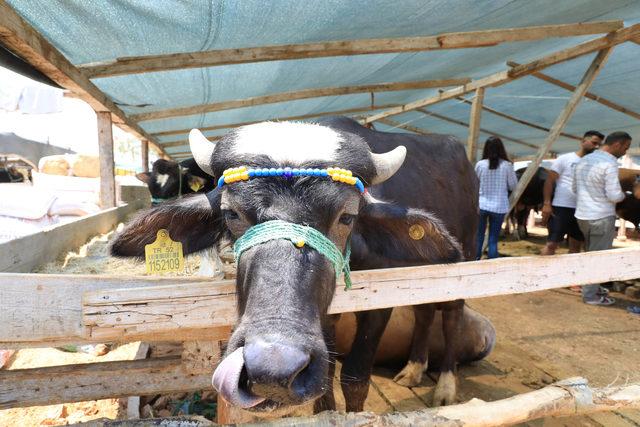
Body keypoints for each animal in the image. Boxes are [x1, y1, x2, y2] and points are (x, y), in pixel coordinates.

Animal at [110, 116, 492, 414]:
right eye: (231, 213)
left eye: (347, 216)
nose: (271, 369)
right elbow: (326, 383)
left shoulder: (379, 304)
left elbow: (354, 379)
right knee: (425, 311)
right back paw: (413, 369)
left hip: (465, 256)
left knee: (452, 312)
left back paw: (445, 386)